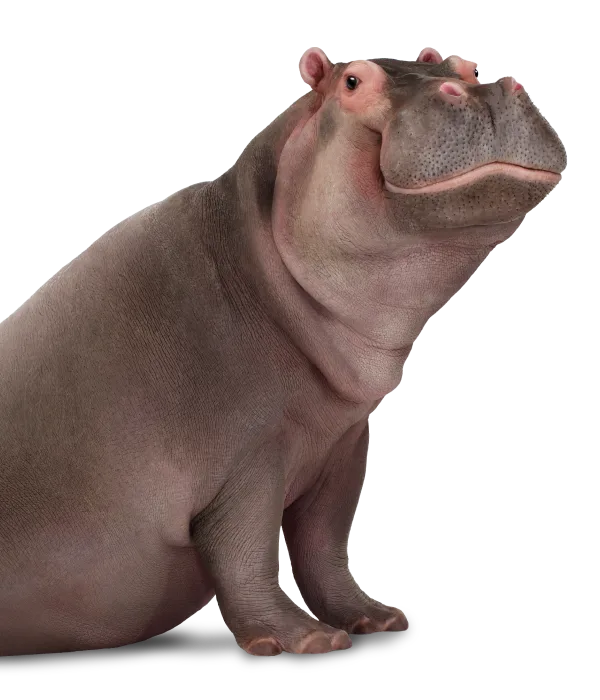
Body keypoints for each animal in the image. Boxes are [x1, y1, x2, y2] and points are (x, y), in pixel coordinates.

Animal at [0, 46, 566, 656]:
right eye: (352, 81)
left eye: (463, 65)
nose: (489, 92)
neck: (251, 255)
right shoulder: (248, 457)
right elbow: (245, 549)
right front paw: (303, 639)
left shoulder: (341, 443)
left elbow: (325, 543)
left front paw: (374, 618)